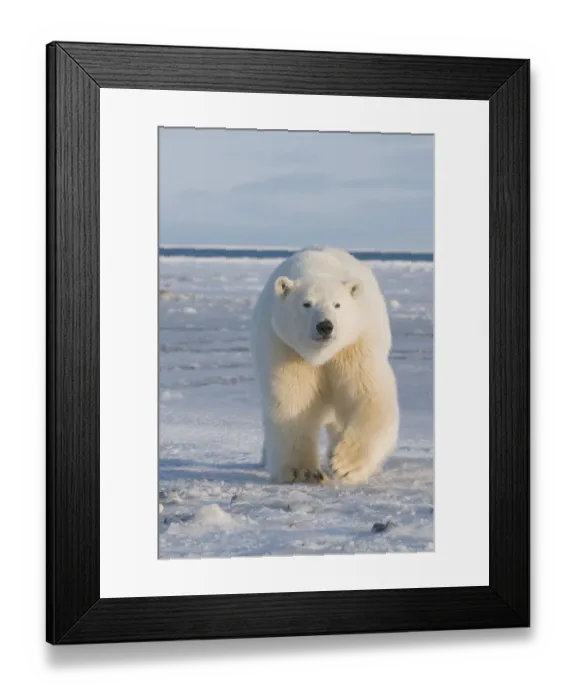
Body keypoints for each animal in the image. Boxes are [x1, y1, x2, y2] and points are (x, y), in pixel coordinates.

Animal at [250, 245, 399, 485]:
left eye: (337, 304)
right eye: (306, 303)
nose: (325, 326)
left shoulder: (354, 345)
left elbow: (368, 396)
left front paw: (344, 464)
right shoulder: (285, 348)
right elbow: (293, 401)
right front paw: (302, 471)